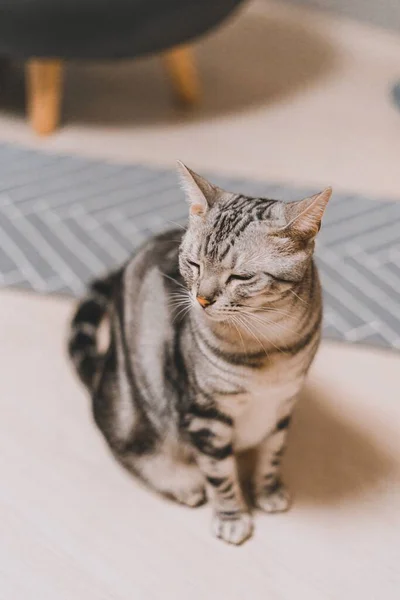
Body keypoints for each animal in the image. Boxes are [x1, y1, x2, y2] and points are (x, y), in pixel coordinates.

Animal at [69, 163, 332, 544]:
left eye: (242, 276)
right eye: (193, 264)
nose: (202, 298)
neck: (268, 344)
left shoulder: (284, 401)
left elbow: (273, 453)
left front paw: (268, 491)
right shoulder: (205, 415)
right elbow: (221, 475)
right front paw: (232, 515)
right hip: (129, 405)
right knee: (124, 442)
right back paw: (182, 482)